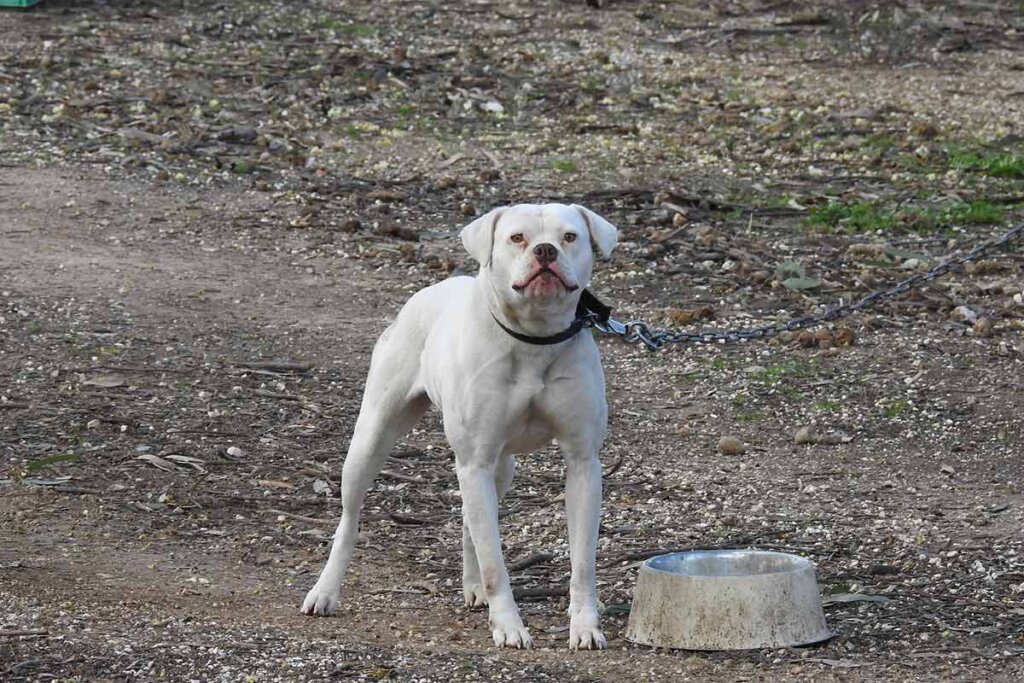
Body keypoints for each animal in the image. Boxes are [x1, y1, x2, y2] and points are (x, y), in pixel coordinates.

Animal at [299, 202, 618, 651]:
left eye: (570, 237)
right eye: (517, 237)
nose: (545, 251)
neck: (533, 338)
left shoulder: (582, 462)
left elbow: (583, 560)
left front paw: (585, 625)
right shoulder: (474, 461)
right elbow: (495, 561)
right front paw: (510, 626)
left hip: (499, 467)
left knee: (472, 519)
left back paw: (474, 588)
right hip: (372, 439)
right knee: (350, 519)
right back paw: (325, 592)